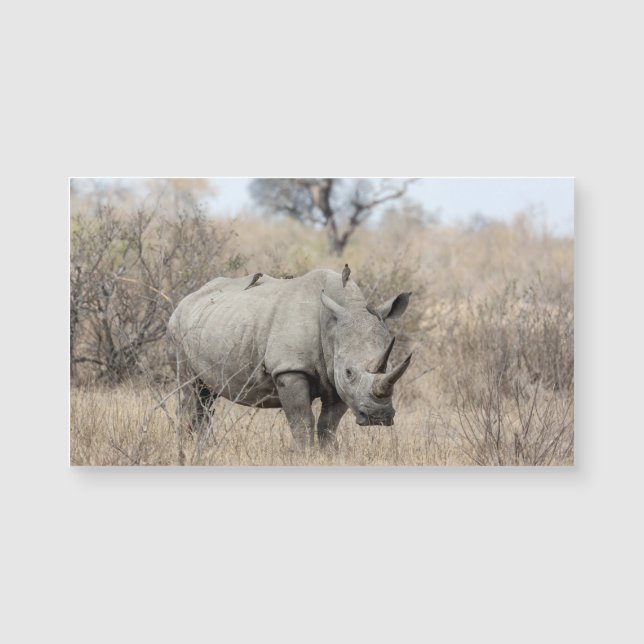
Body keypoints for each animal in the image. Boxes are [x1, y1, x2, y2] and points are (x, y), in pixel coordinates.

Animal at [166, 268, 412, 456]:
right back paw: (187, 450)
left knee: (206, 397)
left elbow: (329, 424)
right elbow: (301, 419)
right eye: (349, 372)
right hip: (177, 329)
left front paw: (329, 455)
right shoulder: (290, 369)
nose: (377, 418)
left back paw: (202, 449)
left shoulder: (335, 377)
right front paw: (303, 455)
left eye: (392, 367)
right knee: (192, 391)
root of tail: (186, 299)